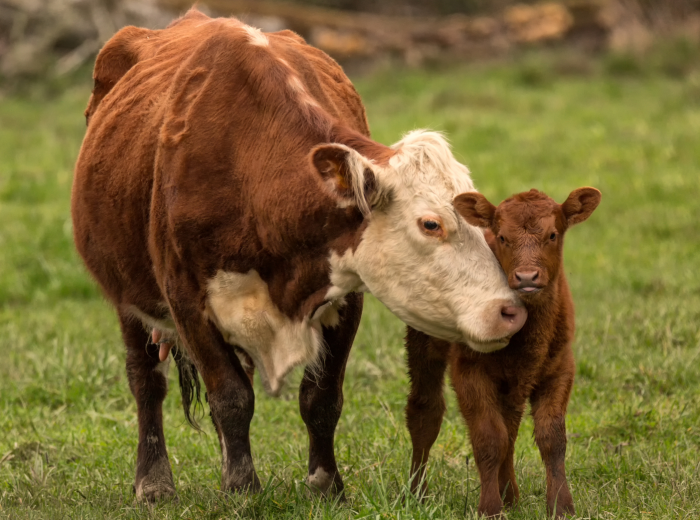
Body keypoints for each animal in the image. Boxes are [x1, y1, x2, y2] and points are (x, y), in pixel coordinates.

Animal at [71, 9, 526, 501]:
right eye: (431, 224)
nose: (510, 311)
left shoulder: (346, 294)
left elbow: (320, 397)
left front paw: (325, 483)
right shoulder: (186, 300)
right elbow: (230, 396)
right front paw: (242, 489)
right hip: (128, 297)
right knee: (146, 381)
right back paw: (154, 481)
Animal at [404, 187, 601, 518]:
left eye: (552, 234)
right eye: (502, 237)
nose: (527, 277)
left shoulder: (560, 367)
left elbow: (551, 438)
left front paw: (561, 505)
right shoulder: (469, 370)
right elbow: (488, 438)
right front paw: (490, 507)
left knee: (510, 425)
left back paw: (511, 495)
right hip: (423, 341)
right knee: (425, 411)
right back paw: (417, 493)